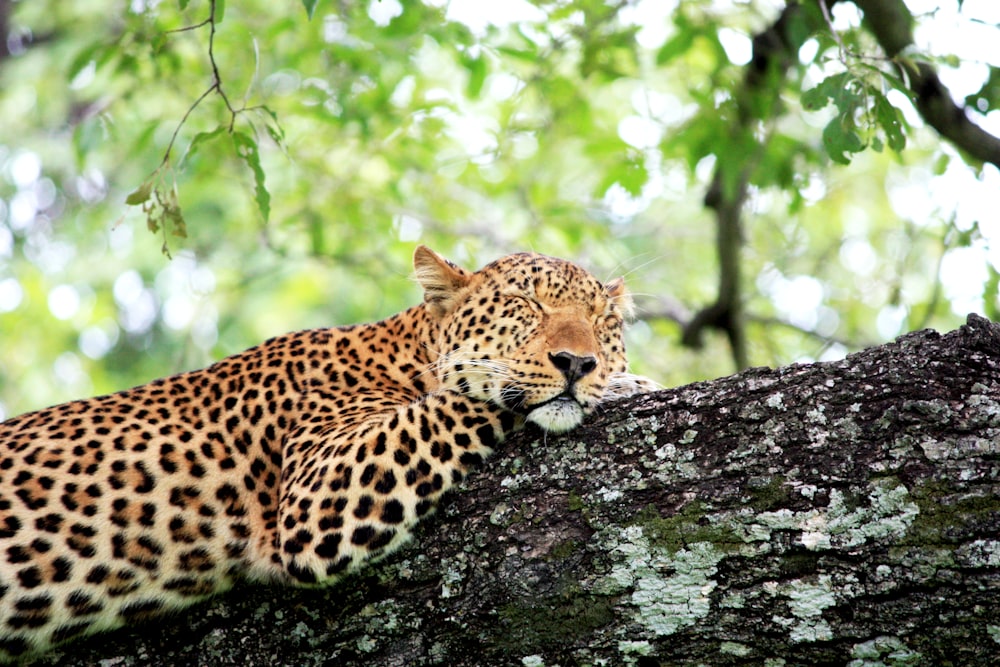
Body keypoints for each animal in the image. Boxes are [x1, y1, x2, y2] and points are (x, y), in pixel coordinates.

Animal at [0, 247, 656, 664]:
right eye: (527, 305)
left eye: (603, 320)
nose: (579, 363)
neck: (403, 352)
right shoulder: (323, 491)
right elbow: (464, 395)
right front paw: (624, 385)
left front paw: (621, 379)